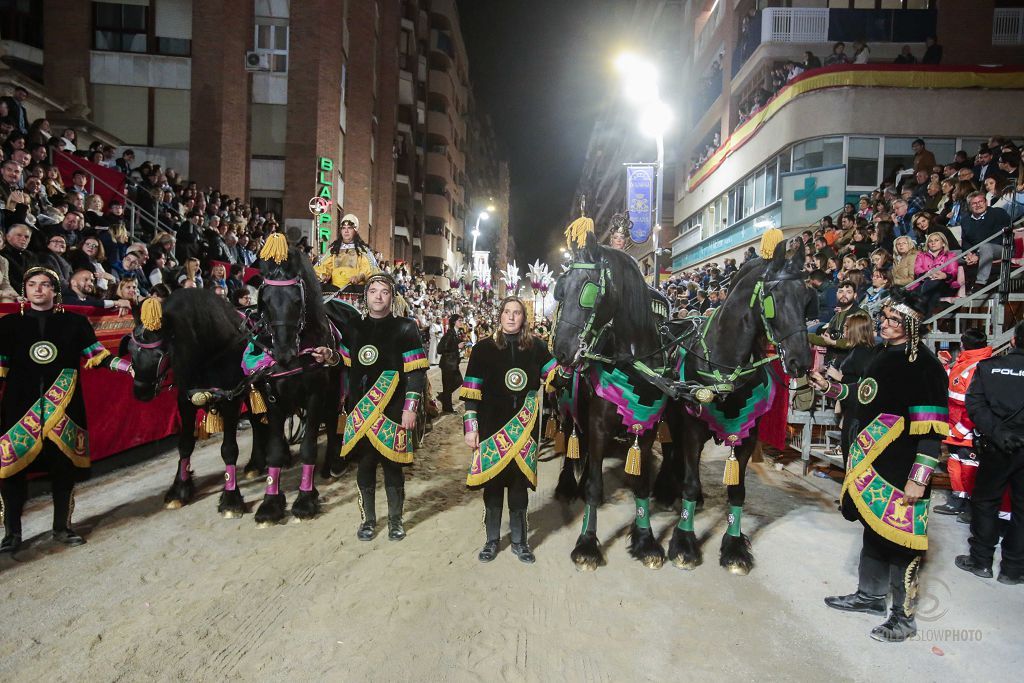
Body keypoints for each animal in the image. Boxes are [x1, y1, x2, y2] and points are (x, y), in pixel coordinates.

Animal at [126, 288, 268, 518]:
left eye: (160, 354)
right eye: (130, 348)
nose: (141, 391)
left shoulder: (231, 398)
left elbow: (229, 449)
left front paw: (231, 499)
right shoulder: (186, 400)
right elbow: (184, 444)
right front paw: (179, 489)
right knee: (257, 422)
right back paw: (256, 463)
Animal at [251, 235, 344, 528]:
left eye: (296, 300)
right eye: (266, 300)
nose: (283, 353)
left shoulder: (315, 396)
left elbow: (308, 448)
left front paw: (305, 499)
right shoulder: (273, 399)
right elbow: (275, 451)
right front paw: (270, 503)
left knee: (334, 424)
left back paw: (331, 466)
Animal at [552, 235, 671, 573]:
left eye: (588, 290)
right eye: (560, 291)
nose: (561, 349)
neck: (632, 363)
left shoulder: (645, 431)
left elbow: (642, 484)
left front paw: (645, 540)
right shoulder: (598, 425)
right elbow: (593, 482)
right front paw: (587, 544)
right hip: (569, 412)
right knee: (573, 448)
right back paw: (568, 485)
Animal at [659, 242, 811, 573]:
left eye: (808, 298)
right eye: (773, 298)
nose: (801, 361)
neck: (724, 362)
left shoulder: (747, 435)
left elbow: (737, 491)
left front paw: (734, 548)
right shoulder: (692, 428)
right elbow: (690, 482)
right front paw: (684, 544)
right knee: (671, 451)